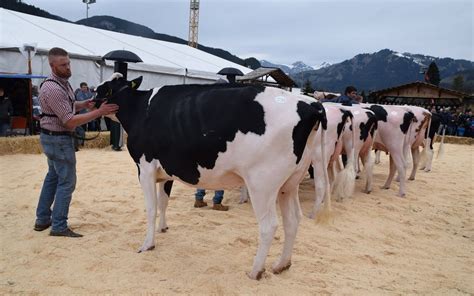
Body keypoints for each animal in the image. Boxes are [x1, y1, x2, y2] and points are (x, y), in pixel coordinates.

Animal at [94, 73, 328, 280]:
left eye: (103, 89)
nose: (91, 103)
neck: (139, 109)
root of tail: (309, 105)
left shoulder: (145, 167)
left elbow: (151, 208)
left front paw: (147, 244)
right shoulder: (166, 171)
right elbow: (163, 202)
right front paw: (163, 228)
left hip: (262, 184)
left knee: (269, 225)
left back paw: (255, 271)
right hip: (289, 184)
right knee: (293, 220)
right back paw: (281, 265)